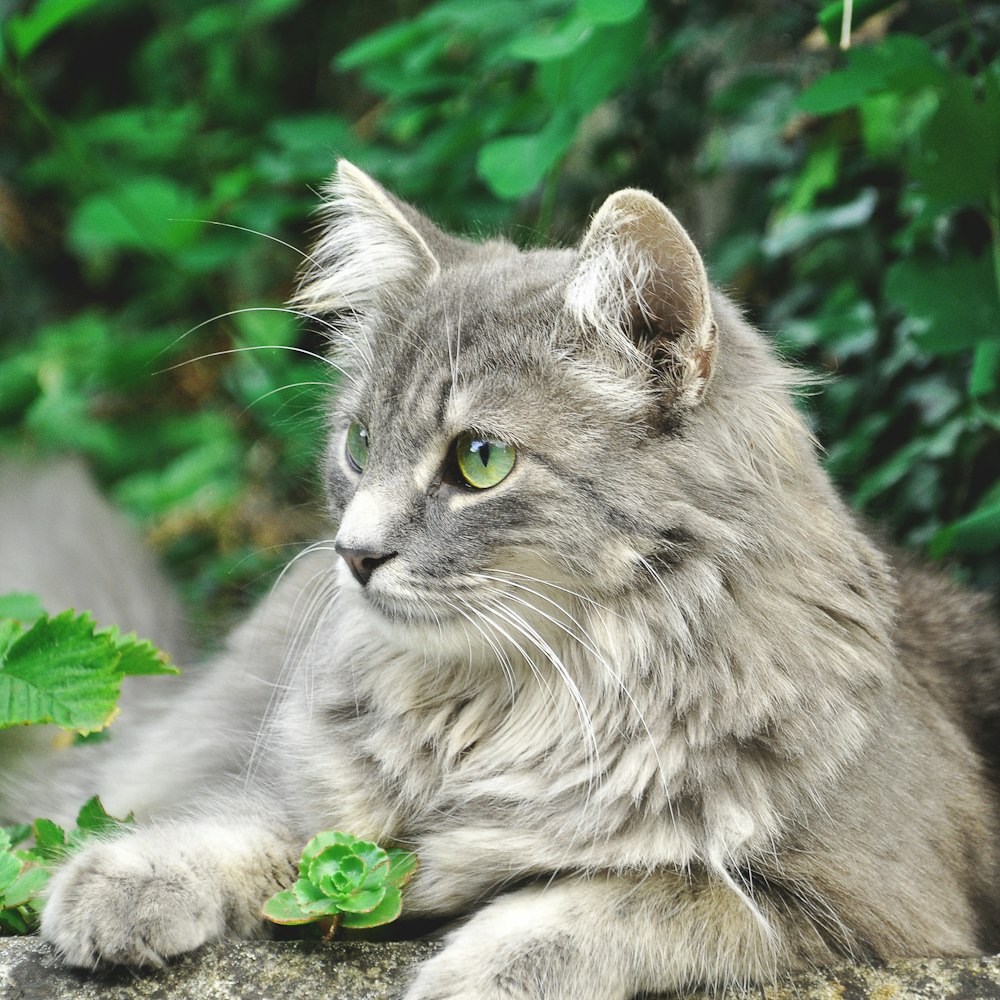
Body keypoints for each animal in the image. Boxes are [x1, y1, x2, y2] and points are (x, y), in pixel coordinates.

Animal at [5, 162, 1000, 1000]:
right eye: (359, 445)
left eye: (480, 460)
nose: (353, 554)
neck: (503, 709)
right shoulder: (332, 815)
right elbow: (259, 832)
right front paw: (126, 878)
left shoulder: (864, 907)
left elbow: (636, 897)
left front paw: (475, 971)